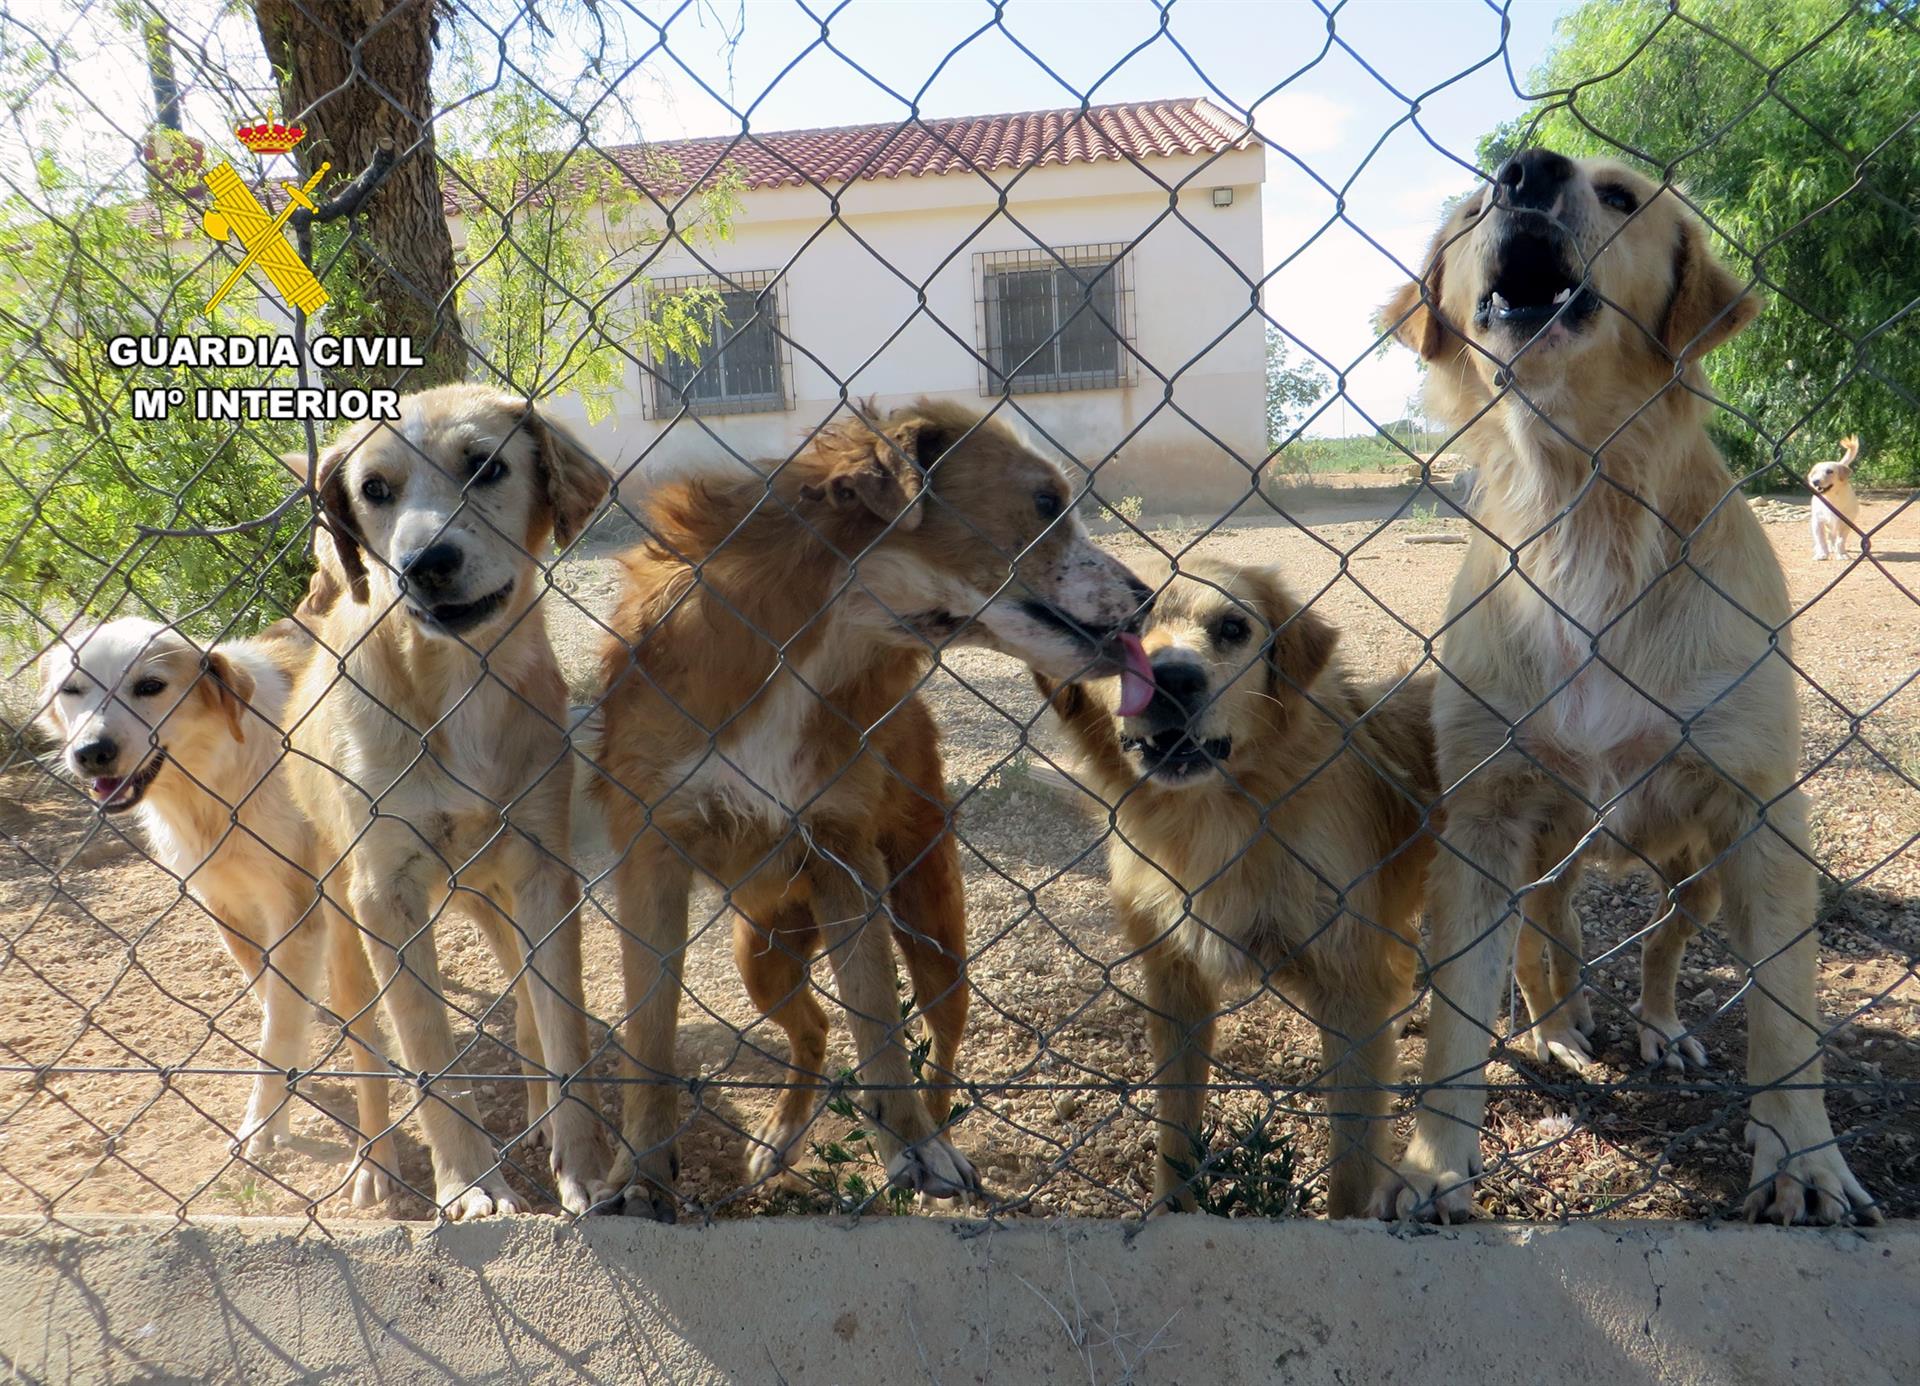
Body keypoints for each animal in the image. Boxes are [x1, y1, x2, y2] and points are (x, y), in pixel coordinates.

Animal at [38, 614, 393, 1197]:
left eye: (150, 686)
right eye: (71, 691)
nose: (91, 752)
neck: (211, 784)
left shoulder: (299, 911)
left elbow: (278, 1026)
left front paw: (262, 1123)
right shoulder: (223, 906)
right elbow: (274, 1005)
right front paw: (287, 1088)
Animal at [284, 383, 610, 1213]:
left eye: (486, 467)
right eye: (374, 490)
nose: (425, 563)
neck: (459, 683)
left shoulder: (543, 871)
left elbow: (561, 1031)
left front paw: (584, 1162)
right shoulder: (384, 896)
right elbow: (428, 1054)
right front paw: (469, 1183)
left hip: (496, 899)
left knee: (526, 1015)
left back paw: (539, 1119)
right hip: (345, 931)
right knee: (369, 1052)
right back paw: (375, 1162)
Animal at [591, 397, 1144, 1213]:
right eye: (1046, 502)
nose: (1148, 599)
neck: (811, 651)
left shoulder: (843, 855)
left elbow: (879, 1019)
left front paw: (915, 1148)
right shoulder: (651, 855)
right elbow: (650, 1034)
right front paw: (637, 1173)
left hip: (932, 924)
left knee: (941, 1042)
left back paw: (935, 1132)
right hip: (761, 951)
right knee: (814, 1028)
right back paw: (780, 1138)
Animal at [1044, 556, 1436, 1213]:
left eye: (1232, 628)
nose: (1172, 679)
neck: (1212, 822)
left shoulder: (1348, 988)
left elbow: (1353, 1165)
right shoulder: (1176, 985)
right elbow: (1175, 1131)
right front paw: (1172, 1211)